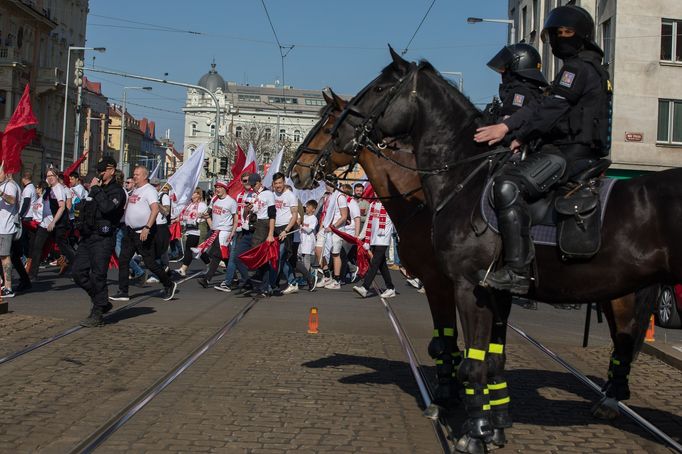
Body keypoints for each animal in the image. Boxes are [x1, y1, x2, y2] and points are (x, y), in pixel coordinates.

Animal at [290, 63, 656, 450]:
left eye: (328, 125)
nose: (296, 170)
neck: (432, 196)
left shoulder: (444, 282)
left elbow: (447, 342)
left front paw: (450, 400)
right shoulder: (478, 288)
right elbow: (480, 350)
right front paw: (482, 411)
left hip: (620, 293)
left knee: (625, 336)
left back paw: (612, 400)